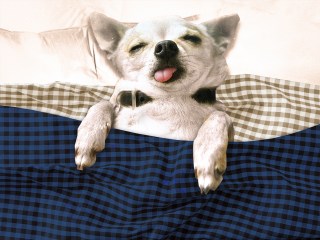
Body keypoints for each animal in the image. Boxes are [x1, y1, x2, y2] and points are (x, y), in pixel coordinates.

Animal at [75, 12, 240, 194]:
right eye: (137, 47)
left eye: (191, 38)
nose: (166, 46)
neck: (168, 98)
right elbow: (102, 104)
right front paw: (88, 137)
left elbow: (220, 115)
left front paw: (208, 155)